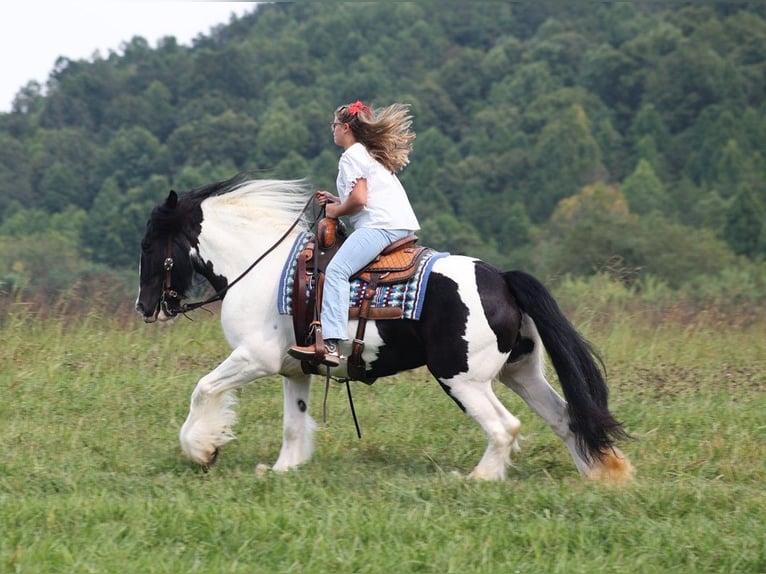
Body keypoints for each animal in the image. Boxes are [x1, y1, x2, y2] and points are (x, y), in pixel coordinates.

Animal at [136, 177, 636, 486]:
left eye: (148, 244)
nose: (145, 308)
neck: (262, 268)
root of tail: (502, 279)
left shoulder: (253, 357)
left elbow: (204, 389)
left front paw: (202, 449)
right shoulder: (294, 369)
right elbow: (294, 423)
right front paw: (283, 470)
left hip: (462, 379)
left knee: (504, 427)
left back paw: (477, 479)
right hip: (522, 373)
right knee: (566, 417)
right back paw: (600, 473)